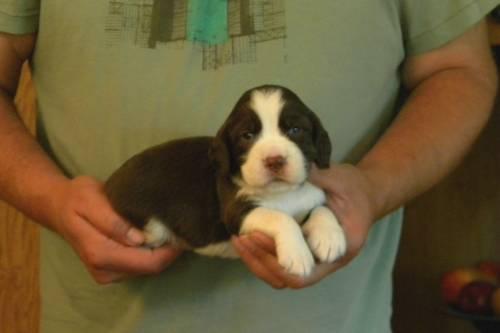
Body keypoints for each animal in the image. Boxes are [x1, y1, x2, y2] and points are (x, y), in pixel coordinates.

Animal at [104, 84, 348, 276]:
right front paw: (298, 254)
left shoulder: (312, 195)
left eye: (296, 130)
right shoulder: (236, 211)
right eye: (247, 136)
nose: (274, 160)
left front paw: (330, 238)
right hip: (151, 226)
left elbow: (321, 208)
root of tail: (110, 181)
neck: (281, 193)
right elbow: (280, 217)